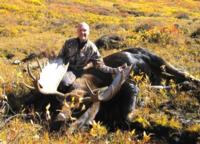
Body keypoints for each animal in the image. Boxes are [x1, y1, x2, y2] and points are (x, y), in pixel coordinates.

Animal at [5, 47, 199, 133]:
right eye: (59, 105)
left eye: (79, 108)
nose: (59, 120)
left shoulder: (129, 86)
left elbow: (127, 115)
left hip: (160, 60)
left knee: (185, 74)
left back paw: (191, 84)